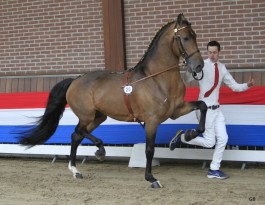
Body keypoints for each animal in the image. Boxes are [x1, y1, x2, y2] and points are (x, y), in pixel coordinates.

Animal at [18, 13, 207, 188]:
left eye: (195, 36)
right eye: (185, 38)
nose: (199, 66)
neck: (156, 78)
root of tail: (75, 80)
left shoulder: (176, 110)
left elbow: (203, 107)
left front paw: (187, 135)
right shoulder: (152, 120)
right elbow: (149, 150)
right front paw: (151, 179)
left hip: (98, 117)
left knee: (76, 135)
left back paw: (76, 170)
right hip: (87, 115)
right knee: (79, 131)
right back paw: (99, 151)